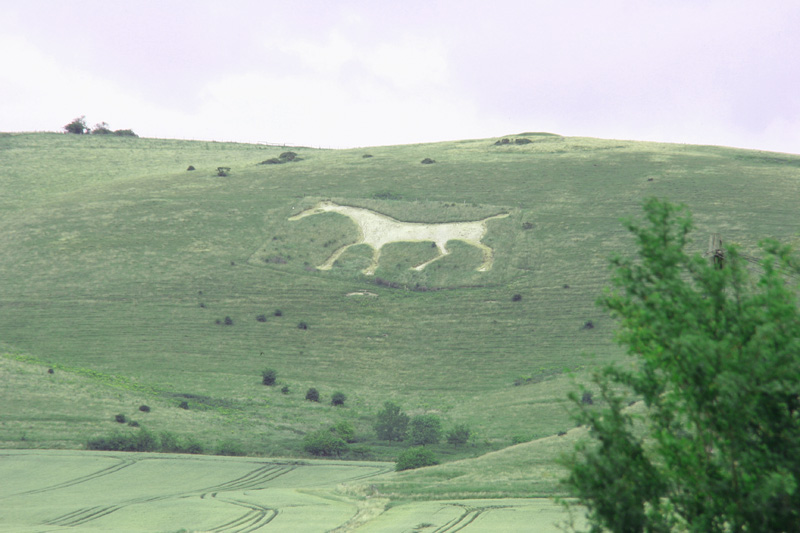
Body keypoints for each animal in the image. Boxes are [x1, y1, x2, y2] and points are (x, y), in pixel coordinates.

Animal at [289, 201, 509, 275]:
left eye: (317, 209)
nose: (293, 218)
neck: (369, 222)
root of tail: (483, 221)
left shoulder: (374, 242)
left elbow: (354, 250)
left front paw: (368, 271)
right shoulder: (369, 241)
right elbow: (345, 248)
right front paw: (324, 265)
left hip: (465, 239)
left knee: (486, 249)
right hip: (445, 241)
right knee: (447, 253)